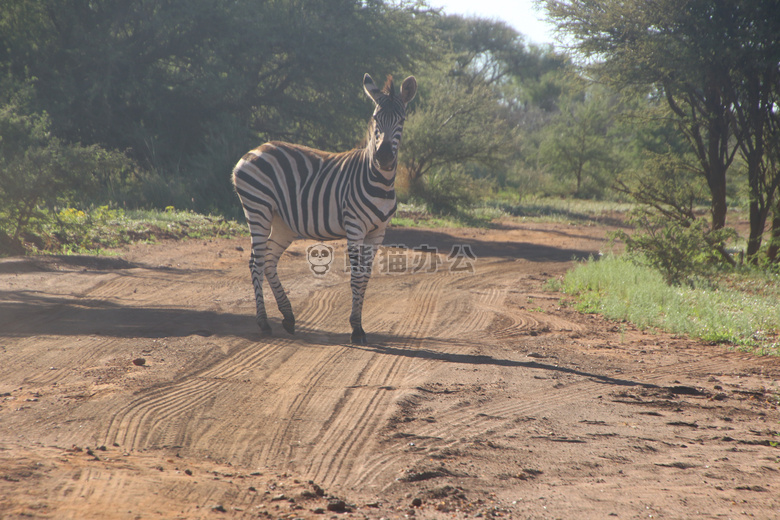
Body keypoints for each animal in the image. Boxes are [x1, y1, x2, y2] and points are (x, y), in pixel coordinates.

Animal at [232, 71, 418, 344]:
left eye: (401, 120)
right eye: (376, 119)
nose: (383, 158)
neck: (380, 181)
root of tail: (255, 149)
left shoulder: (379, 232)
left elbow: (366, 276)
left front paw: (359, 325)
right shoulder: (355, 226)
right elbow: (356, 276)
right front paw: (356, 329)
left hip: (282, 222)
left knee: (268, 260)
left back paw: (288, 317)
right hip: (258, 209)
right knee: (256, 262)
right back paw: (264, 322)